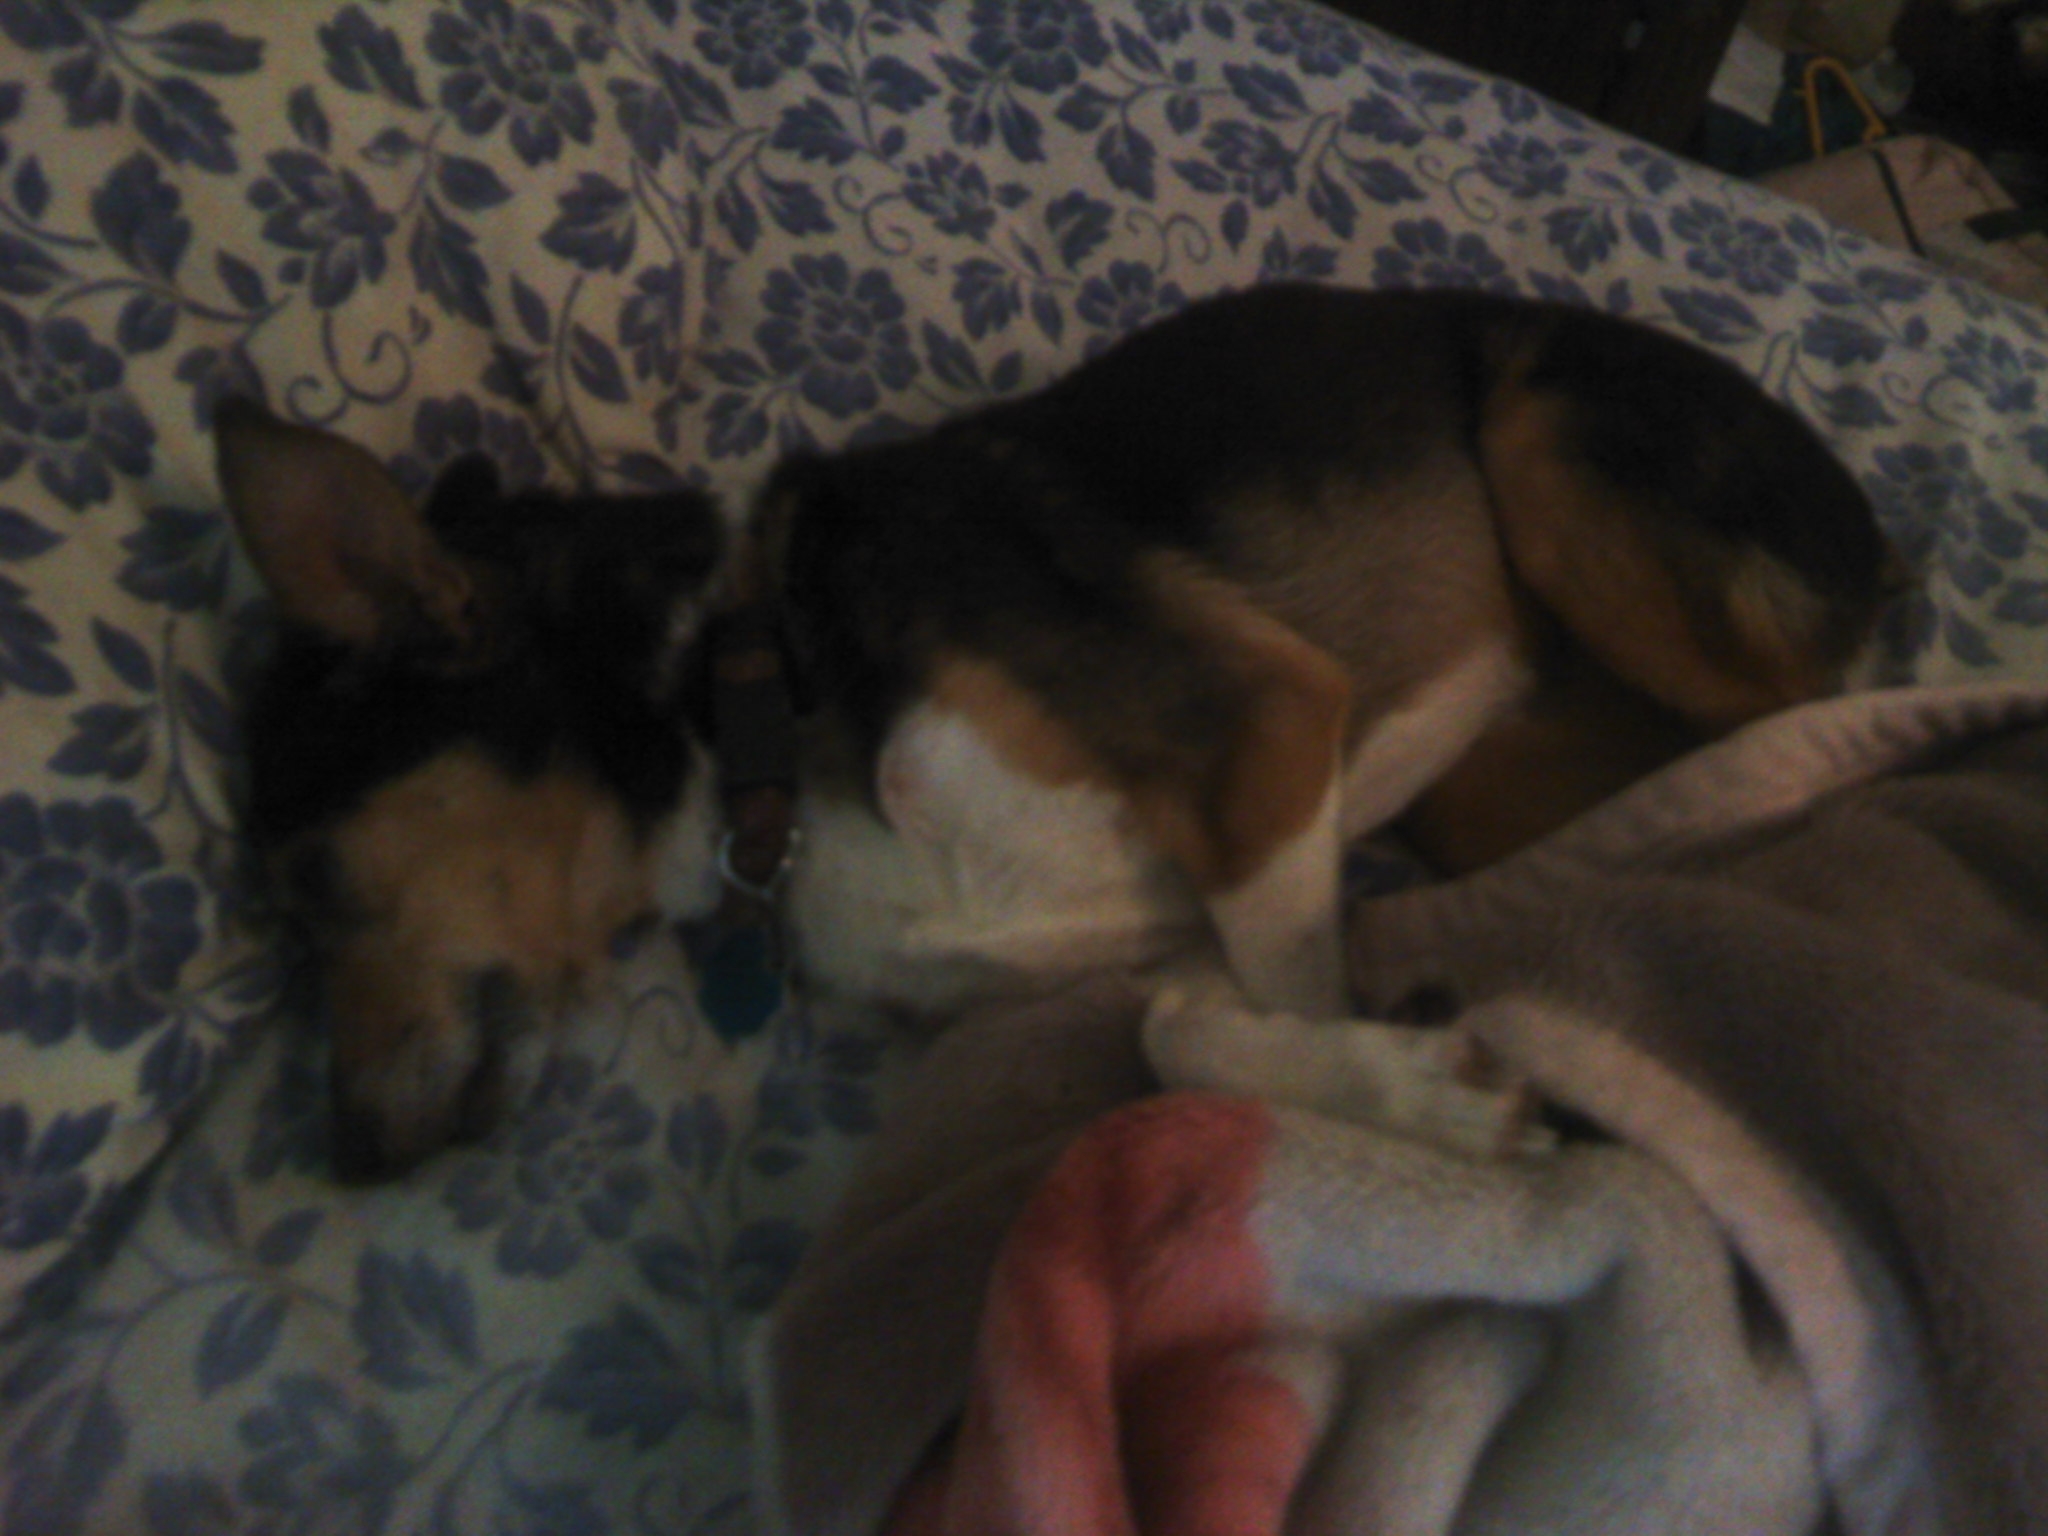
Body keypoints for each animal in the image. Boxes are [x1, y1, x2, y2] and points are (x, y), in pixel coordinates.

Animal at [219, 283, 1899, 1177]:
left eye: (313, 891)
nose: (351, 1162)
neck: (749, 683)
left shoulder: (1267, 731)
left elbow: (1282, 998)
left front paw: (1416, 1106)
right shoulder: (1150, 930)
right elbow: (1186, 1032)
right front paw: (1406, 1081)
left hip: (1544, 444)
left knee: (1819, 699)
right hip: (1499, 777)